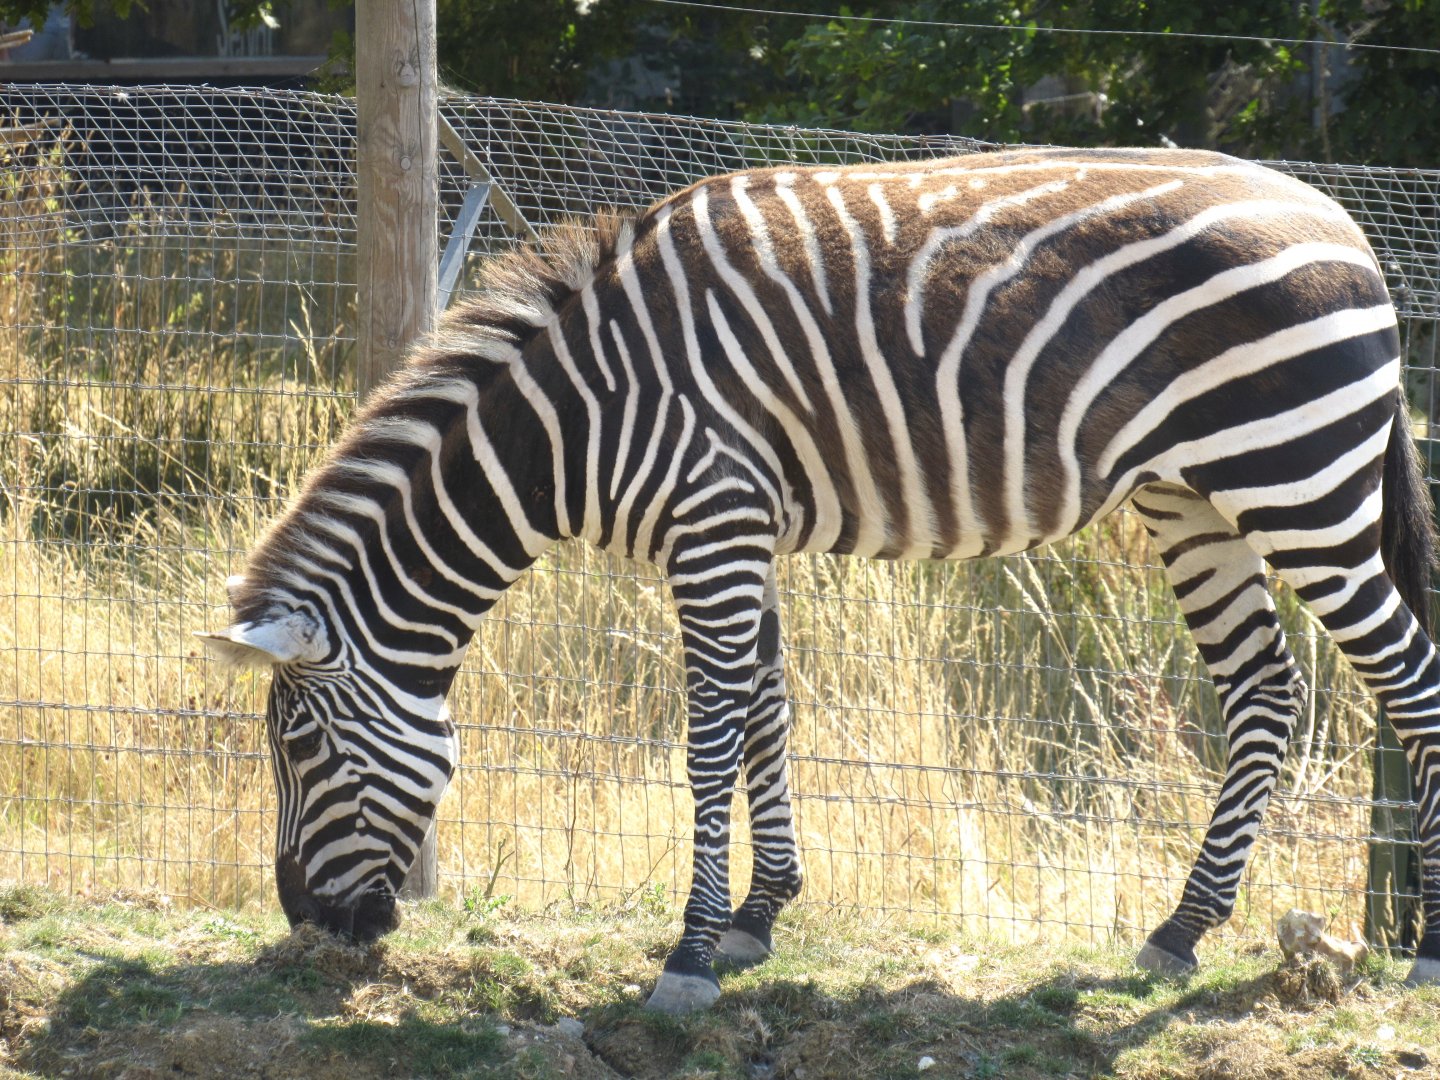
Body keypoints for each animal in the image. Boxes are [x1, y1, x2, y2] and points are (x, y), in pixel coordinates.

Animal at [203, 146, 1440, 1013]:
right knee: (1266, 691)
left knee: (1409, 681)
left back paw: (1423, 950)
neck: (576, 417)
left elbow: (710, 739)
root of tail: (1344, 222)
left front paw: (691, 954)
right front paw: (760, 916)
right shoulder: (739, 529)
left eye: (299, 748)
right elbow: (768, 713)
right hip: (1195, 498)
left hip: (1298, 478)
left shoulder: (711, 522)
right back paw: (1182, 930)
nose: (305, 922)